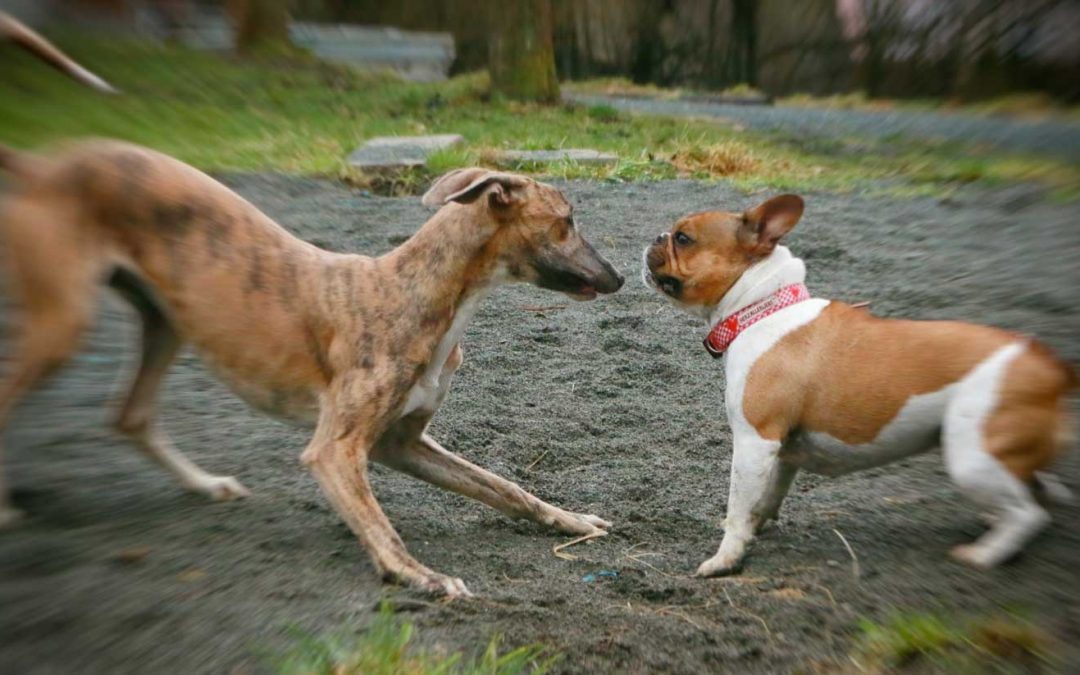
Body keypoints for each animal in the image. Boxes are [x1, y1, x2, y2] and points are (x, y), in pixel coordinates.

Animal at [0, 140, 626, 596]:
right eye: (568, 220)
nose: (621, 277)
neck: (417, 291)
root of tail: (47, 164)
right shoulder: (336, 449)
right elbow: (379, 524)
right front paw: (420, 576)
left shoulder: (400, 443)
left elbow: (505, 488)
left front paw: (571, 520)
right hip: (64, 323)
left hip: (164, 322)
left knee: (130, 415)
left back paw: (207, 485)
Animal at [643, 193, 1075, 574]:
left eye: (684, 237)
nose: (657, 236)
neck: (759, 308)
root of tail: (1050, 365)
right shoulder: (781, 453)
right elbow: (764, 498)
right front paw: (754, 529)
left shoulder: (754, 441)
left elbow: (737, 505)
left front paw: (726, 559)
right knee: (1038, 489)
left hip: (972, 456)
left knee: (1028, 512)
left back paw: (985, 554)